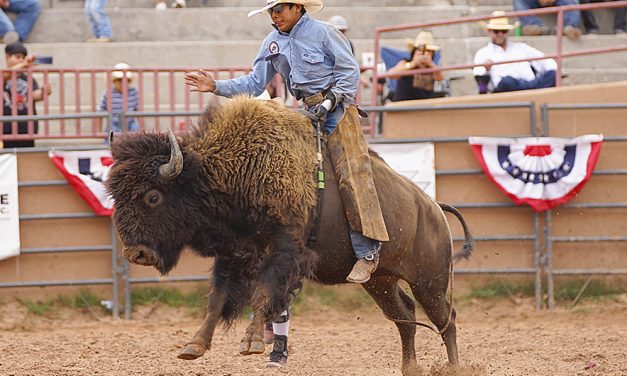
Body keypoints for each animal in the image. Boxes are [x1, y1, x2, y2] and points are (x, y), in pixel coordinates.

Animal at [106, 97, 472, 376]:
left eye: (153, 196)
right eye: (114, 195)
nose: (135, 253)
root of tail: (433, 208)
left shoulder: (283, 253)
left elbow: (263, 296)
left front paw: (250, 343)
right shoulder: (232, 256)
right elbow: (217, 300)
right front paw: (193, 346)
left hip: (428, 281)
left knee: (446, 319)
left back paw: (456, 368)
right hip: (380, 282)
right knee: (406, 318)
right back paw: (410, 368)